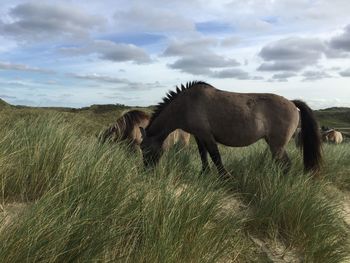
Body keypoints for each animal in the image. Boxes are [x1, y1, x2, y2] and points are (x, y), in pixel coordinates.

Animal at [139, 81, 322, 178]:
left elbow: (215, 156)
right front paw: (205, 173)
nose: (146, 171)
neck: (187, 103)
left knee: (286, 165)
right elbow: (203, 155)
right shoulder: (199, 136)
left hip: (277, 145)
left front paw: (225, 177)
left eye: (144, 148)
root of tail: (292, 103)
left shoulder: (207, 135)